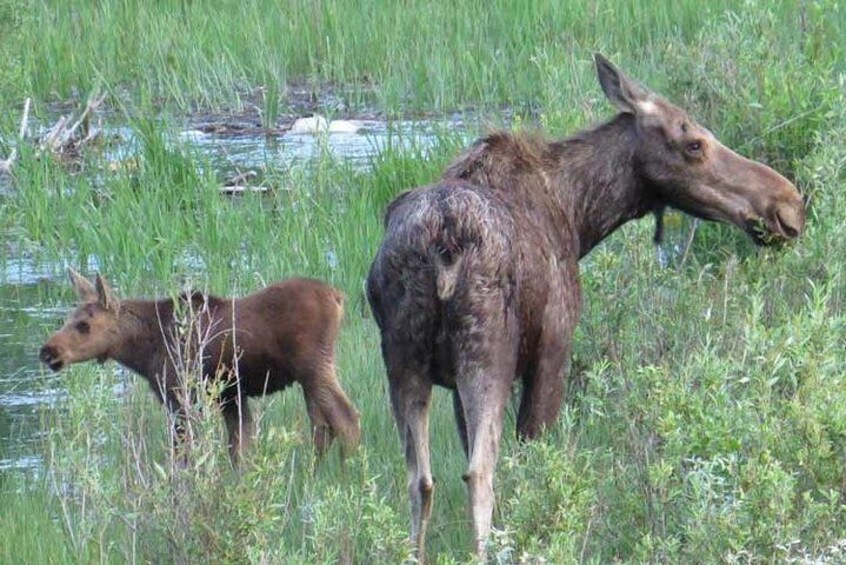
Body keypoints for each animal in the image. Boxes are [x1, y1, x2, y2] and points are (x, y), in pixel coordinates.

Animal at [368, 54, 804, 560]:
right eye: (694, 143)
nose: (788, 205)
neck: (579, 217)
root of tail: (441, 245)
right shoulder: (552, 352)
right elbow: (532, 461)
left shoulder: (455, 385)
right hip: (486, 355)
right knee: (478, 473)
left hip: (403, 360)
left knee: (420, 481)